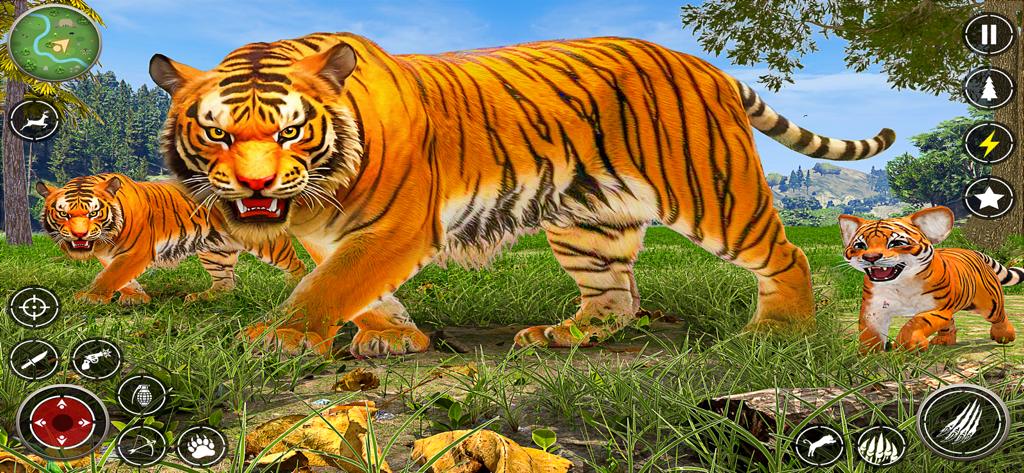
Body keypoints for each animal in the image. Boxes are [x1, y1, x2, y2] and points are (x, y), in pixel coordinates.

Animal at [36, 173, 307, 305]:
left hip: (267, 245)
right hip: (215, 251)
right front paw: (136, 298)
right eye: (63, 213)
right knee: (226, 282)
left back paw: (293, 288)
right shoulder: (108, 255)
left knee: (298, 264)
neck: (105, 239)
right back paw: (203, 297)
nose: (79, 235)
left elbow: (111, 276)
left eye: (93, 213)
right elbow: (121, 278)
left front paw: (88, 297)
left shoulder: (136, 252)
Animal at [148, 33, 895, 358]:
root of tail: (701, 62)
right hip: (590, 222)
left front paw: (281, 334)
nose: (255, 184)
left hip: (715, 193)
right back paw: (564, 334)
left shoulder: (394, 227)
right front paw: (395, 337)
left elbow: (332, 284)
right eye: (215, 134)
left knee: (786, 255)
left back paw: (779, 330)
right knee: (616, 294)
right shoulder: (327, 233)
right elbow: (358, 288)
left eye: (291, 130)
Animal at [839, 206, 1019, 354]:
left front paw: (909, 346)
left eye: (896, 243)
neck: (900, 283)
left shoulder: (937, 308)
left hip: (989, 303)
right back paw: (943, 341)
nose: (871, 257)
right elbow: (869, 333)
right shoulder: (874, 309)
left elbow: (914, 323)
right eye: (860, 246)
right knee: (950, 323)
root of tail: (973, 251)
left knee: (999, 316)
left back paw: (1004, 335)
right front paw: (867, 355)